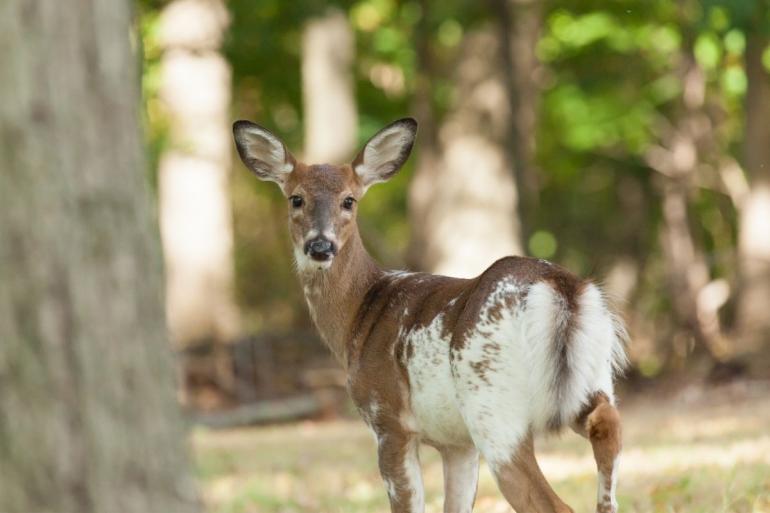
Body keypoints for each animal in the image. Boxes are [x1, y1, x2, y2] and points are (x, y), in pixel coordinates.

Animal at [231, 117, 628, 512]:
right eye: (296, 198)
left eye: (349, 200)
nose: (320, 246)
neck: (360, 313)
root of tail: (561, 287)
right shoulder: (456, 443)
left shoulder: (389, 418)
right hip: (591, 379)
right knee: (606, 429)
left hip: (492, 404)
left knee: (552, 502)